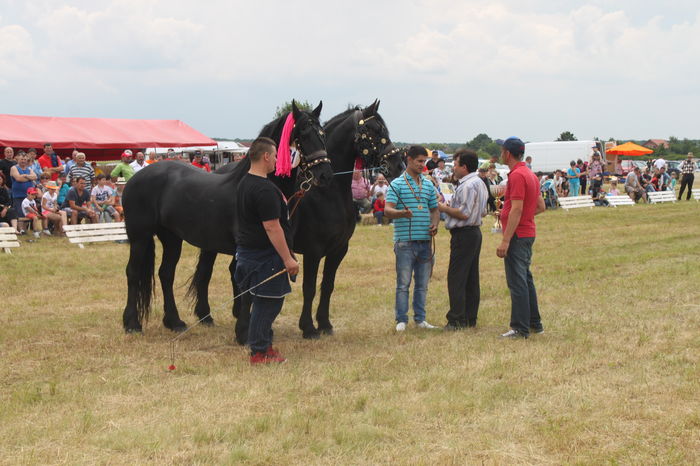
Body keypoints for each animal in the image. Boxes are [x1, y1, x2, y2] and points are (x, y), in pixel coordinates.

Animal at [121, 101, 333, 338]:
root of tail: (135, 178)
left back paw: (174, 321)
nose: (325, 174)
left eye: (322, 133)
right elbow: (246, 286)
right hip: (139, 236)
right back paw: (132, 323)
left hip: (172, 238)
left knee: (166, 274)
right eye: (303, 134)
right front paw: (244, 330)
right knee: (133, 273)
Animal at [190, 99, 404, 340]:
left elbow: (327, 285)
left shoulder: (338, 250)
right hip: (211, 244)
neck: (327, 194)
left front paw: (325, 324)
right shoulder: (313, 250)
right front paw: (309, 328)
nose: (398, 165)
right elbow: (309, 288)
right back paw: (206, 316)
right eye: (374, 130)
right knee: (206, 272)